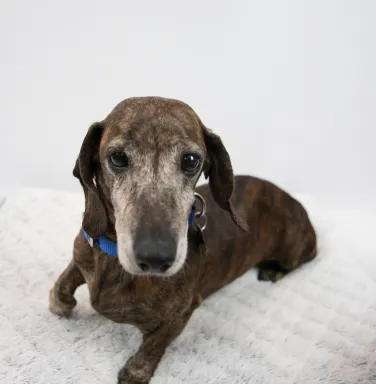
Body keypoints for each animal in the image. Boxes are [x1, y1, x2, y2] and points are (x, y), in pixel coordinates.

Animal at [47, 95, 318, 380]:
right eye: (118, 157)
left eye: (190, 160)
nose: (156, 257)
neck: (114, 261)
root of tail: (296, 203)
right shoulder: (82, 253)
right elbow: (61, 288)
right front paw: (63, 303)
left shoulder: (180, 315)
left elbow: (154, 345)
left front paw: (136, 371)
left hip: (292, 250)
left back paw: (273, 271)